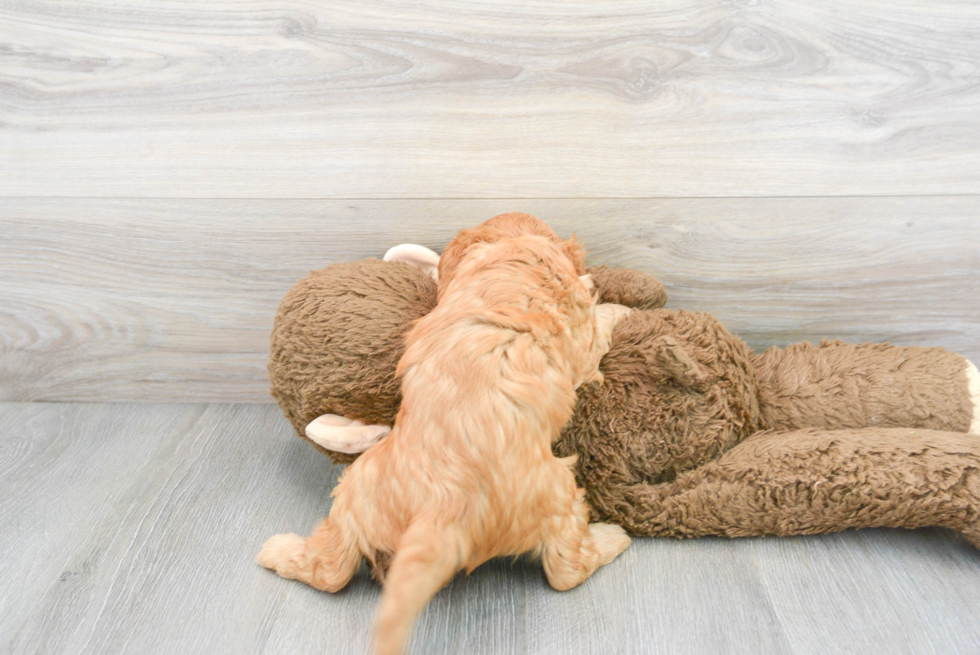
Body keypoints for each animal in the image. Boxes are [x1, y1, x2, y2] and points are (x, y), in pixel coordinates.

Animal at [256, 215, 632, 655]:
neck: (513, 253)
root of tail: (442, 506)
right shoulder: (582, 343)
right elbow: (597, 326)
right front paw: (616, 306)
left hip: (356, 488)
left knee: (329, 570)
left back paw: (276, 550)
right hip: (558, 491)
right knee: (565, 570)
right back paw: (612, 539)